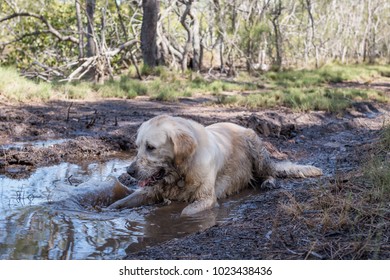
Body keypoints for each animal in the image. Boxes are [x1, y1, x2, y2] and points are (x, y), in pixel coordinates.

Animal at [108, 115, 322, 215]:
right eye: (137, 147)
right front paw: (108, 210)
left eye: (151, 147)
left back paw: (268, 182)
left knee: (269, 172)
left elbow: (185, 212)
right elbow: (120, 203)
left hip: (256, 148)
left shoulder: (206, 198)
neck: (180, 173)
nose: (130, 171)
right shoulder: (150, 190)